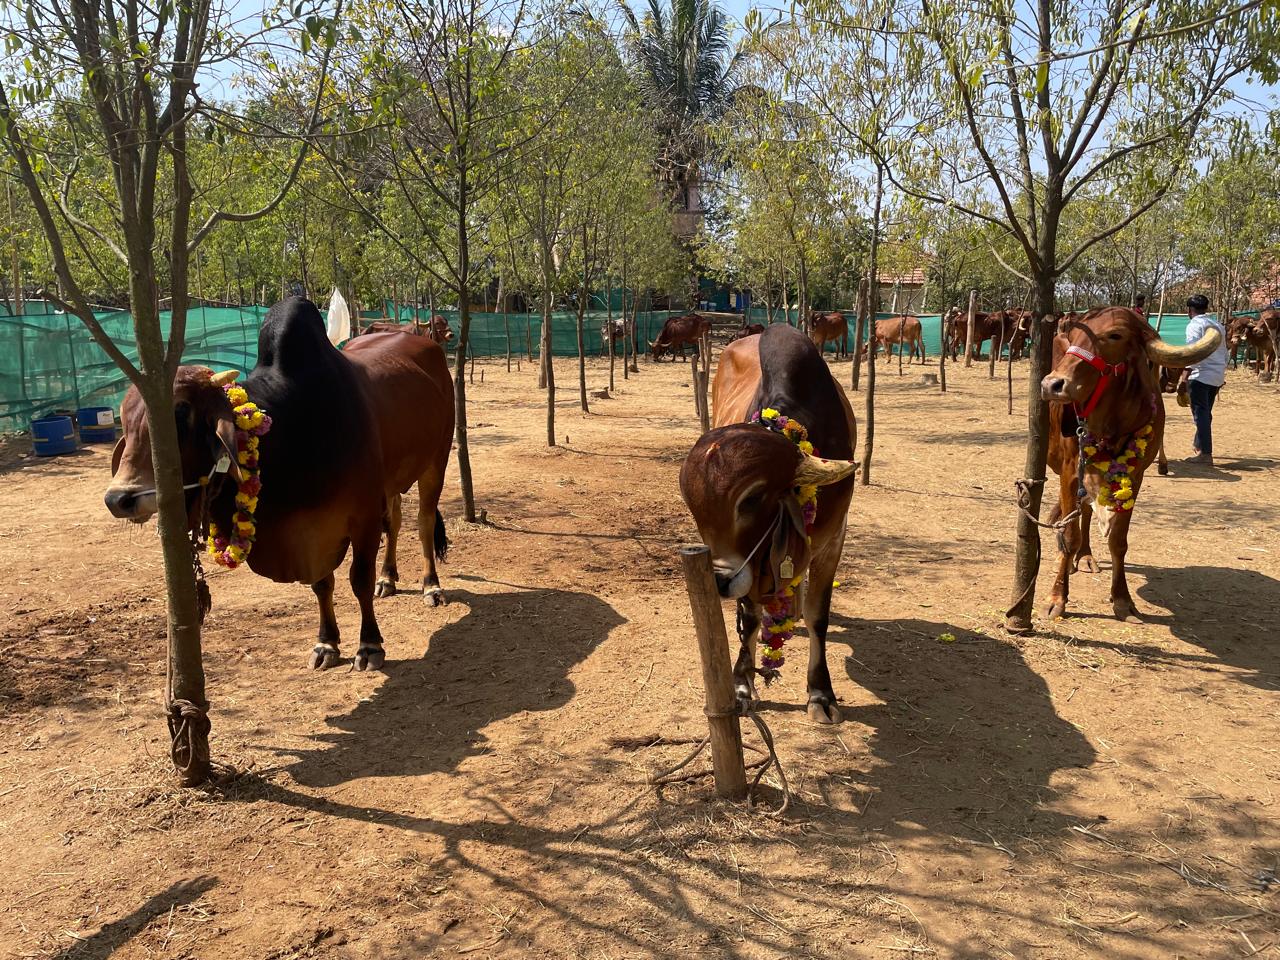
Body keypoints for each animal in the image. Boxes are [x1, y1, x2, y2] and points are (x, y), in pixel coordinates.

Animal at [104, 297, 455, 671]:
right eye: (125, 419)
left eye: (181, 413)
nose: (119, 498)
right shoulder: (312, 530)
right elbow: (322, 584)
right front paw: (326, 643)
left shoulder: (362, 516)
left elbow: (359, 579)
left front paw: (369, 645)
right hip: (391, 480)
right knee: (396, 521)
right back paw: (388, 578)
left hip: (436, 461)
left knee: (424, 522)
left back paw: (431, 586)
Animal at [680, 324, 859, 724]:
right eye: (693, 507)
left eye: (753, 497)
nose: (718, 581)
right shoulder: (753, 562)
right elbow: (749, 616)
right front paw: (742, 687)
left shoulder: (832, 540)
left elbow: (818, 617)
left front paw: (821, 693)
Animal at [1040, 307, 1221, 622]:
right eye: (1074, 335)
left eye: (1115, 335)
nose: (1053, 385)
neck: (1109, 425)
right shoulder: (1069, 472)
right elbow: (1070, 534)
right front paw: (1057, 598)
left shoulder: (1134, 477)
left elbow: (1118, 541)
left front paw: (1122, 600)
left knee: (1086, 514)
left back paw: (1085, 556)